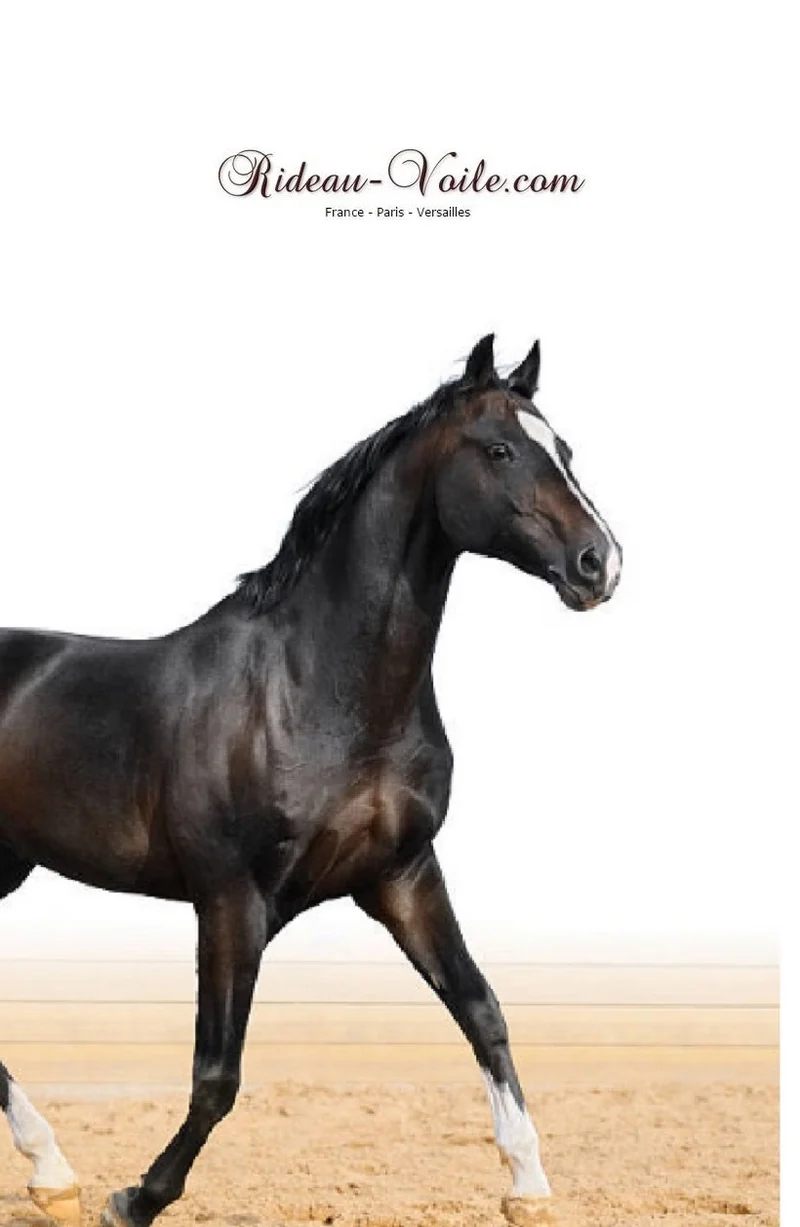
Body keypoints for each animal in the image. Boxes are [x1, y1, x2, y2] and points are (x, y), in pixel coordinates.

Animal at [0, 334, 621, 1227]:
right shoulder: (231, 898)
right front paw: (137, 1196)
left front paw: (528, 1183)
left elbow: (482, 1009)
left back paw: (50, 1170)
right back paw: (54, 1168)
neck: (315, 689)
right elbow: (217, 1075)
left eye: (564, 450)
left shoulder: (401, 875)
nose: (600, 563)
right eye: (501, 450)